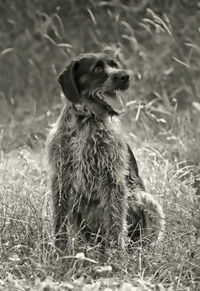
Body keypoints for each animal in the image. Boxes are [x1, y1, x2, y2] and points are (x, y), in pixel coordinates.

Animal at [46, 52, 164, 251]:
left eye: (115, 65)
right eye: (97, 68)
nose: (125, 76)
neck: (85, 120)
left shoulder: (113, 180)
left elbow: (115, 223)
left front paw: (115, 254)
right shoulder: (61, 178)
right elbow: (59, 223)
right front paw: (60, 252)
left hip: (146, 200)